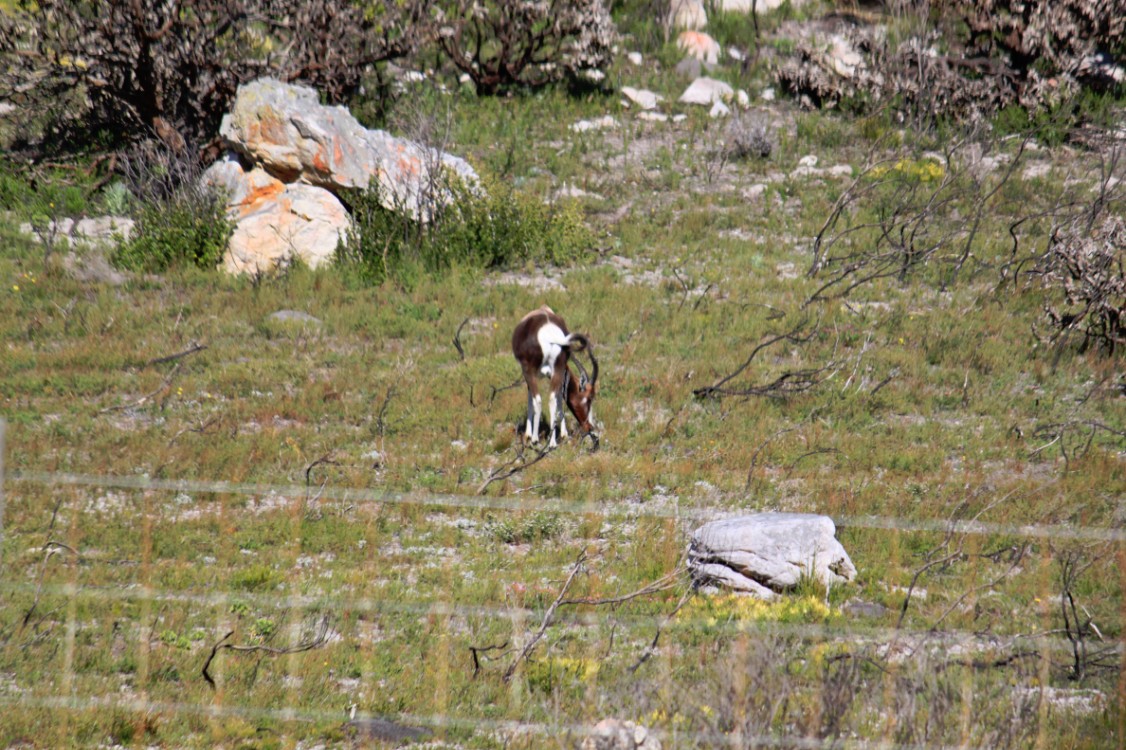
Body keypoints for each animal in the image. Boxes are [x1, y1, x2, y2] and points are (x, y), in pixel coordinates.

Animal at [511, 306, 599, 445]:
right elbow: (559, 397)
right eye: (589, 398)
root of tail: (550, 335)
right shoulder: (558, 373)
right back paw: (552, 443)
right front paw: (564, 434)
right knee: (552, 398)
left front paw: (528, 435)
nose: (589, 426)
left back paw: (535, 440)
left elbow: (531, 399)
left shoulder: (528, 373)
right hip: (557, 368)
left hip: (530, 371)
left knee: (538, 400)